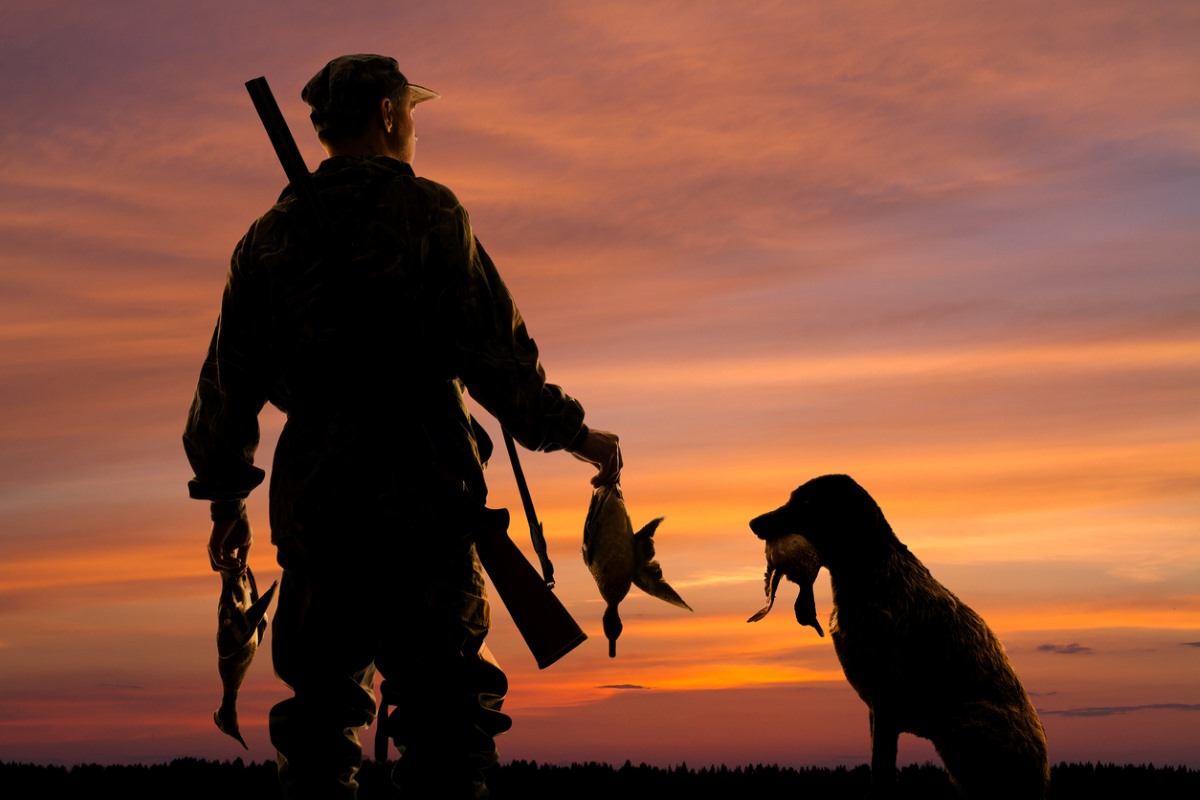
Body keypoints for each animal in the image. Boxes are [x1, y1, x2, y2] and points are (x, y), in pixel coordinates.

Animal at [748, 474, 1051, 800]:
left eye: (805, 501)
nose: (753, 522)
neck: (867, 572)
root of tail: (1041, 785)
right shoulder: (876, 707)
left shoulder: (885, 700)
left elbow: (881, 771)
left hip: (960, 722)